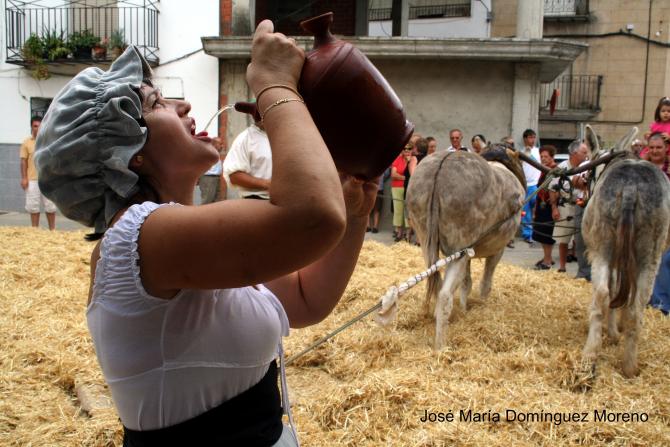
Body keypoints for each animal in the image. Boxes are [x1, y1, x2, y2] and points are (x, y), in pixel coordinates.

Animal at [405, 145, 526, 349]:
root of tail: (442, 164)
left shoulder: (469, 253)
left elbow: (466, 283)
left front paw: (464, 310)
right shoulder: (497, 250)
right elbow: (485, 283)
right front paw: (481, 306)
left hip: (427, 240)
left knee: (438, 287)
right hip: (459, 248)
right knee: (445, 295)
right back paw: (440, 346)